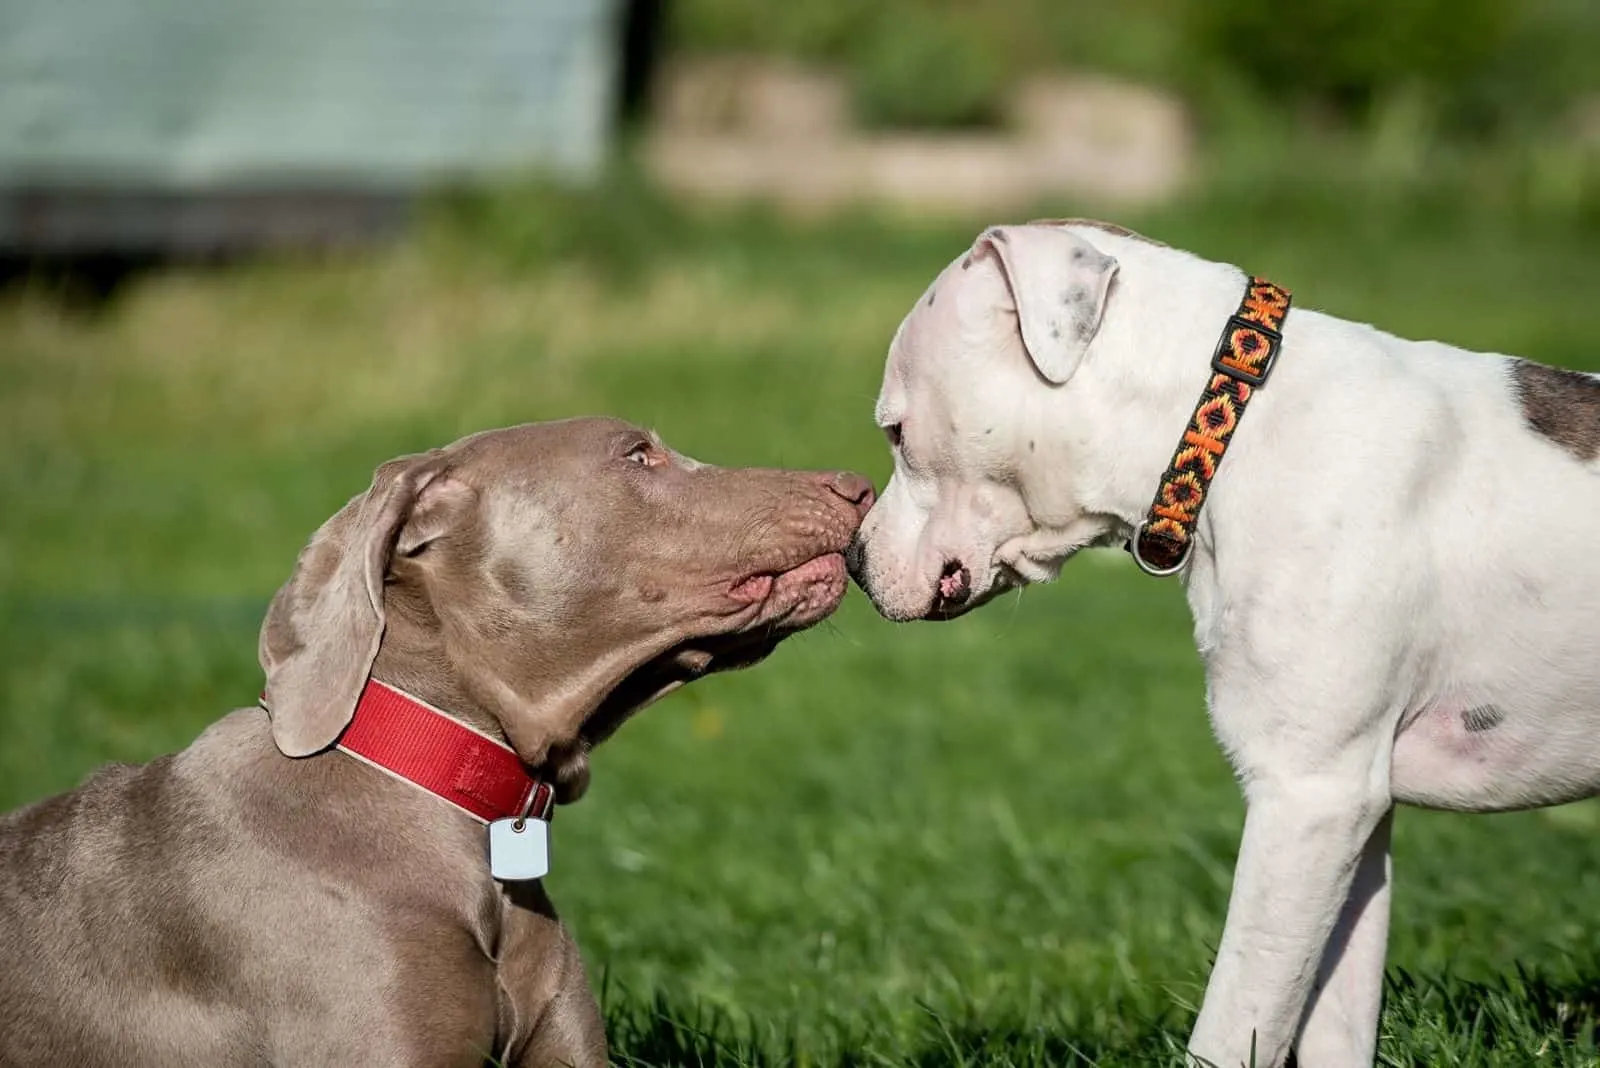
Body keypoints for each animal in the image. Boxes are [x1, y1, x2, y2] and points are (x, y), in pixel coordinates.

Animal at [851, 219, 1600, 1068]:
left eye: (896, 431)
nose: (854, 560)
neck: (1234, 431)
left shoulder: (1305, 798)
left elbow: (1236, 1013)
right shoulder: (1353, 807)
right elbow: (1332, 1015)